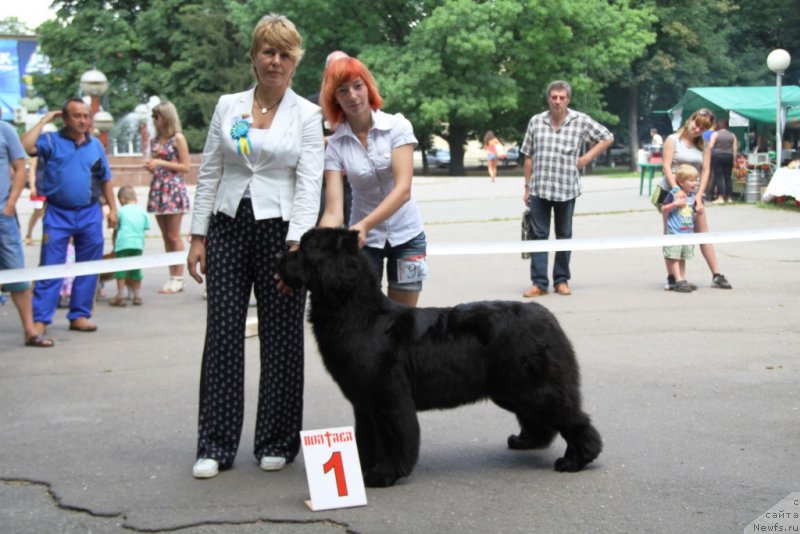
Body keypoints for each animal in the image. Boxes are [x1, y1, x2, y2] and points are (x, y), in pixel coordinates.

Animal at [280, 228, 600, 488]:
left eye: (305, 249)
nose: (280, 257)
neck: (360, 315)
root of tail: (548, 317)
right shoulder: (365, 405)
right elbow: (367, 440)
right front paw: (362, 468)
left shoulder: (388, 399)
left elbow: (393, 438)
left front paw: (384, 475)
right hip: (512, 389)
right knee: (540, 419)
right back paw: (526, 441)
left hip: (532, 386)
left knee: (572, 417)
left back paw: (577, 459)